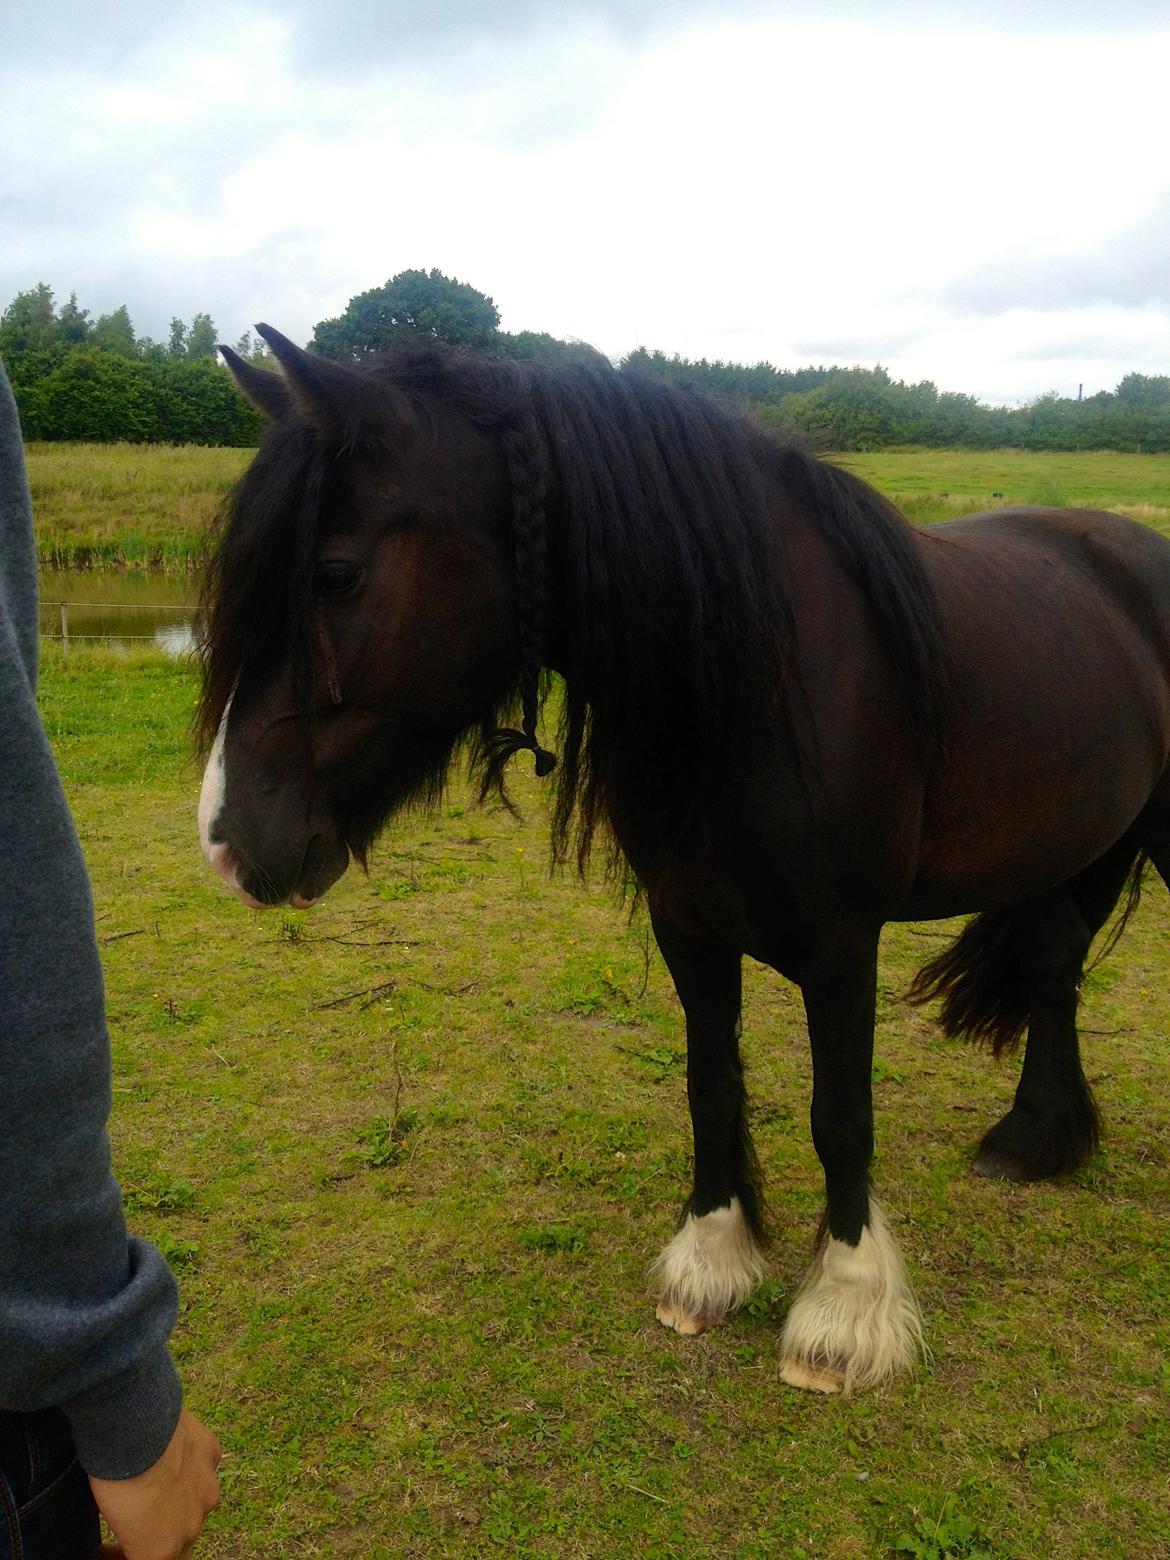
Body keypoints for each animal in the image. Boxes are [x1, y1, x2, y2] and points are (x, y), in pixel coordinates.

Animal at [197, 326, 1170, 1391]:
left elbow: (841, 1115)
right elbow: (710, 1088)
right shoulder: (688, 926)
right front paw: (710, 1263)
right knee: (1053, 968)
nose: (227, 842)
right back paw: (1035, 1139)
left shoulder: (842, 945)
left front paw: (843, 1313)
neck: (767, 678)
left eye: (333, 573)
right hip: (1048, 847)